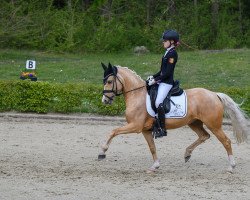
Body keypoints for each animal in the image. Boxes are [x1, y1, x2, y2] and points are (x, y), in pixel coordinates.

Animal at [98, 63, 248, 173]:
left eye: (109, 81)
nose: (104, 100)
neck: (137, 95)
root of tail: (215, 94)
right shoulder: (145, 130)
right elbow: (152, 147)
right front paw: (155, 166)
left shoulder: (135, 126)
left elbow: (113, 131)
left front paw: (102, 152)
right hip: (194, 123)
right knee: (204, 136)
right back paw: (187, 154)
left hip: (213, 125)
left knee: (226, 141)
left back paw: (231, 167)